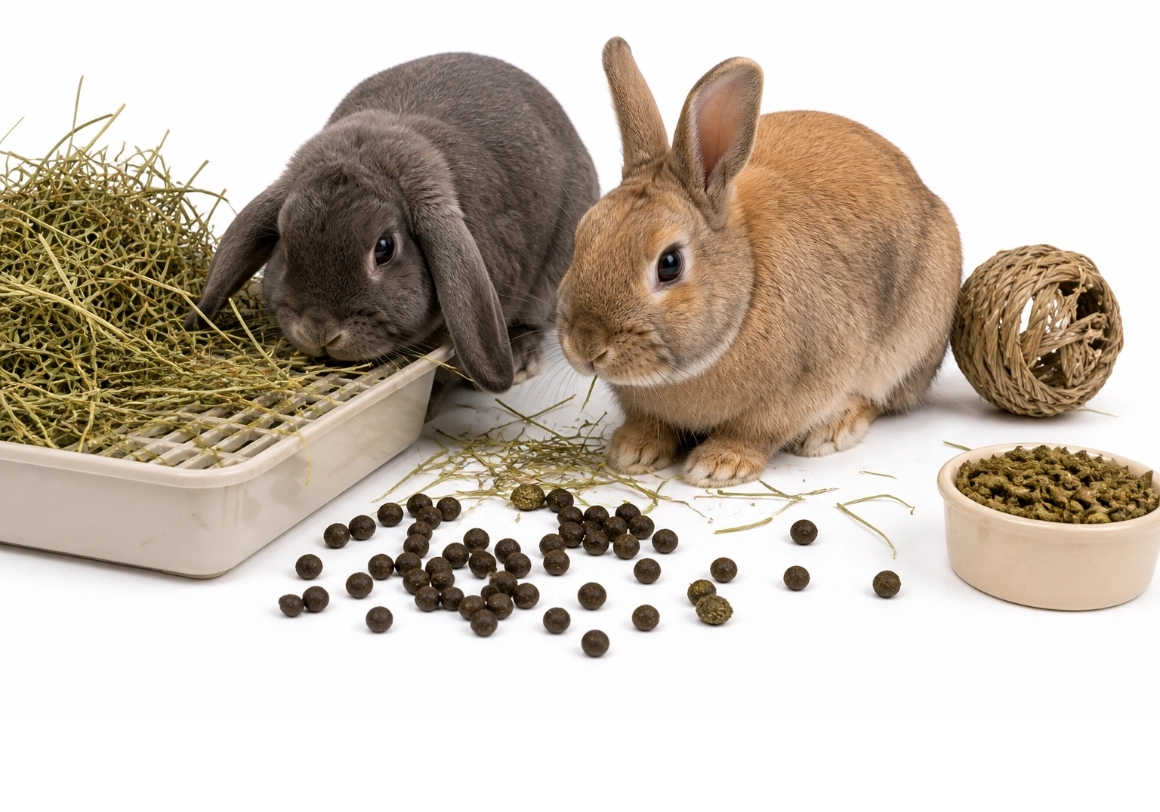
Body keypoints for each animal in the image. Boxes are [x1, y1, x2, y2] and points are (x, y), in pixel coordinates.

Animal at [556, 38, 962, 487]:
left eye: (669, 264)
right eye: (581, 238)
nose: (586, 346)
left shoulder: (801, 387)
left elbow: (755, 430)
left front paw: (718, 465)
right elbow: (651, 422)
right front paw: (633, 451)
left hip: (909, 346)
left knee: (883, 398)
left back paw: (831, 430)